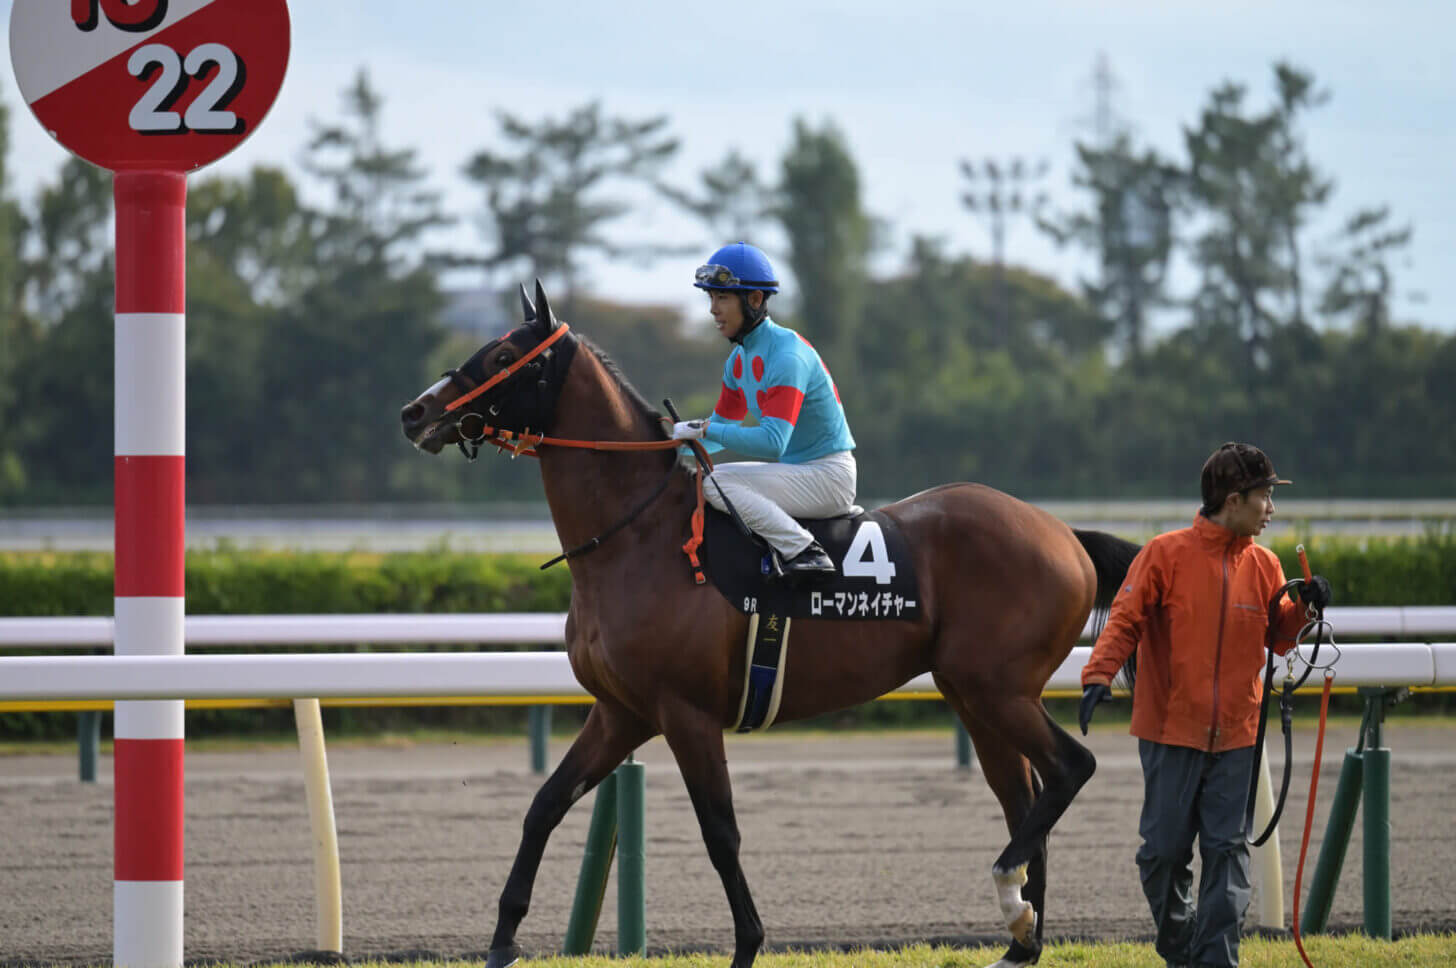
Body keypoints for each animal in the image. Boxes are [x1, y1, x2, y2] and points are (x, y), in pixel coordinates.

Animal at [398, 280, 1135, 966]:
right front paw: (501, 941)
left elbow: (720, 832)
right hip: (972, 694)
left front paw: (748, 944)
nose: (415, 412)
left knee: (1070, 768)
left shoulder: (684, 711)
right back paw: (1020, 937)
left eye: (501, 355)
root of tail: (1063, 534)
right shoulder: (620, 712)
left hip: (996, 688)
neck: (634, 535)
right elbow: (545, 805)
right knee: (1024, 795)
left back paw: (1010, 891)